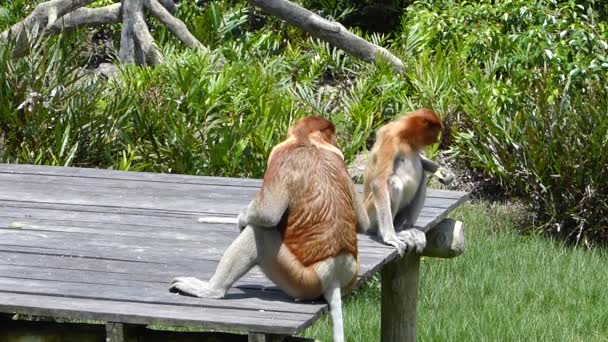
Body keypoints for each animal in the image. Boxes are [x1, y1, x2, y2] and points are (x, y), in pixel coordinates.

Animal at [171, 115, 370, 342]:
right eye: (333, 135)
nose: (337, 142)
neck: (310, 143)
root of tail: (335, 274)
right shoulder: (339, 159)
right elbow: (363, 222)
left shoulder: (278, 155)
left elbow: (267, 215)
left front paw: (242, 218)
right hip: (347, 275)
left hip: (299, 279)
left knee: (259, 234)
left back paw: (209, 289)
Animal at [358, 108, 454, 255]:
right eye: (436, 130)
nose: (438, 139)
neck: (405, 136)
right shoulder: (390, 140)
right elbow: (379, 182)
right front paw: (390, 238)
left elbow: (421, 161)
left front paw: (445, 173)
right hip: (370, 214)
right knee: (393, 183)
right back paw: (389, 233)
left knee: (422, 178)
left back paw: (407, 228)